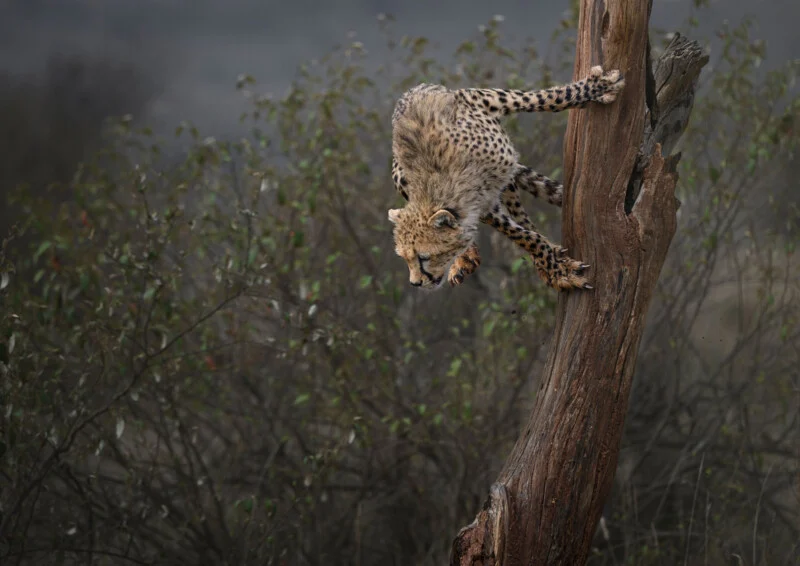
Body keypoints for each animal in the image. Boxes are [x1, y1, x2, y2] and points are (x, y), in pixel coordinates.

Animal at [387, 65, 625, 291]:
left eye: (423, 257)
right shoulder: (484, 207)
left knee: (522, 214)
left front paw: (598, 87)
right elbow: (523, 236)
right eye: (406, 258)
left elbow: (549, 99)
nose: (415, 283)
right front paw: (556, 270)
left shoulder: (483, 97)